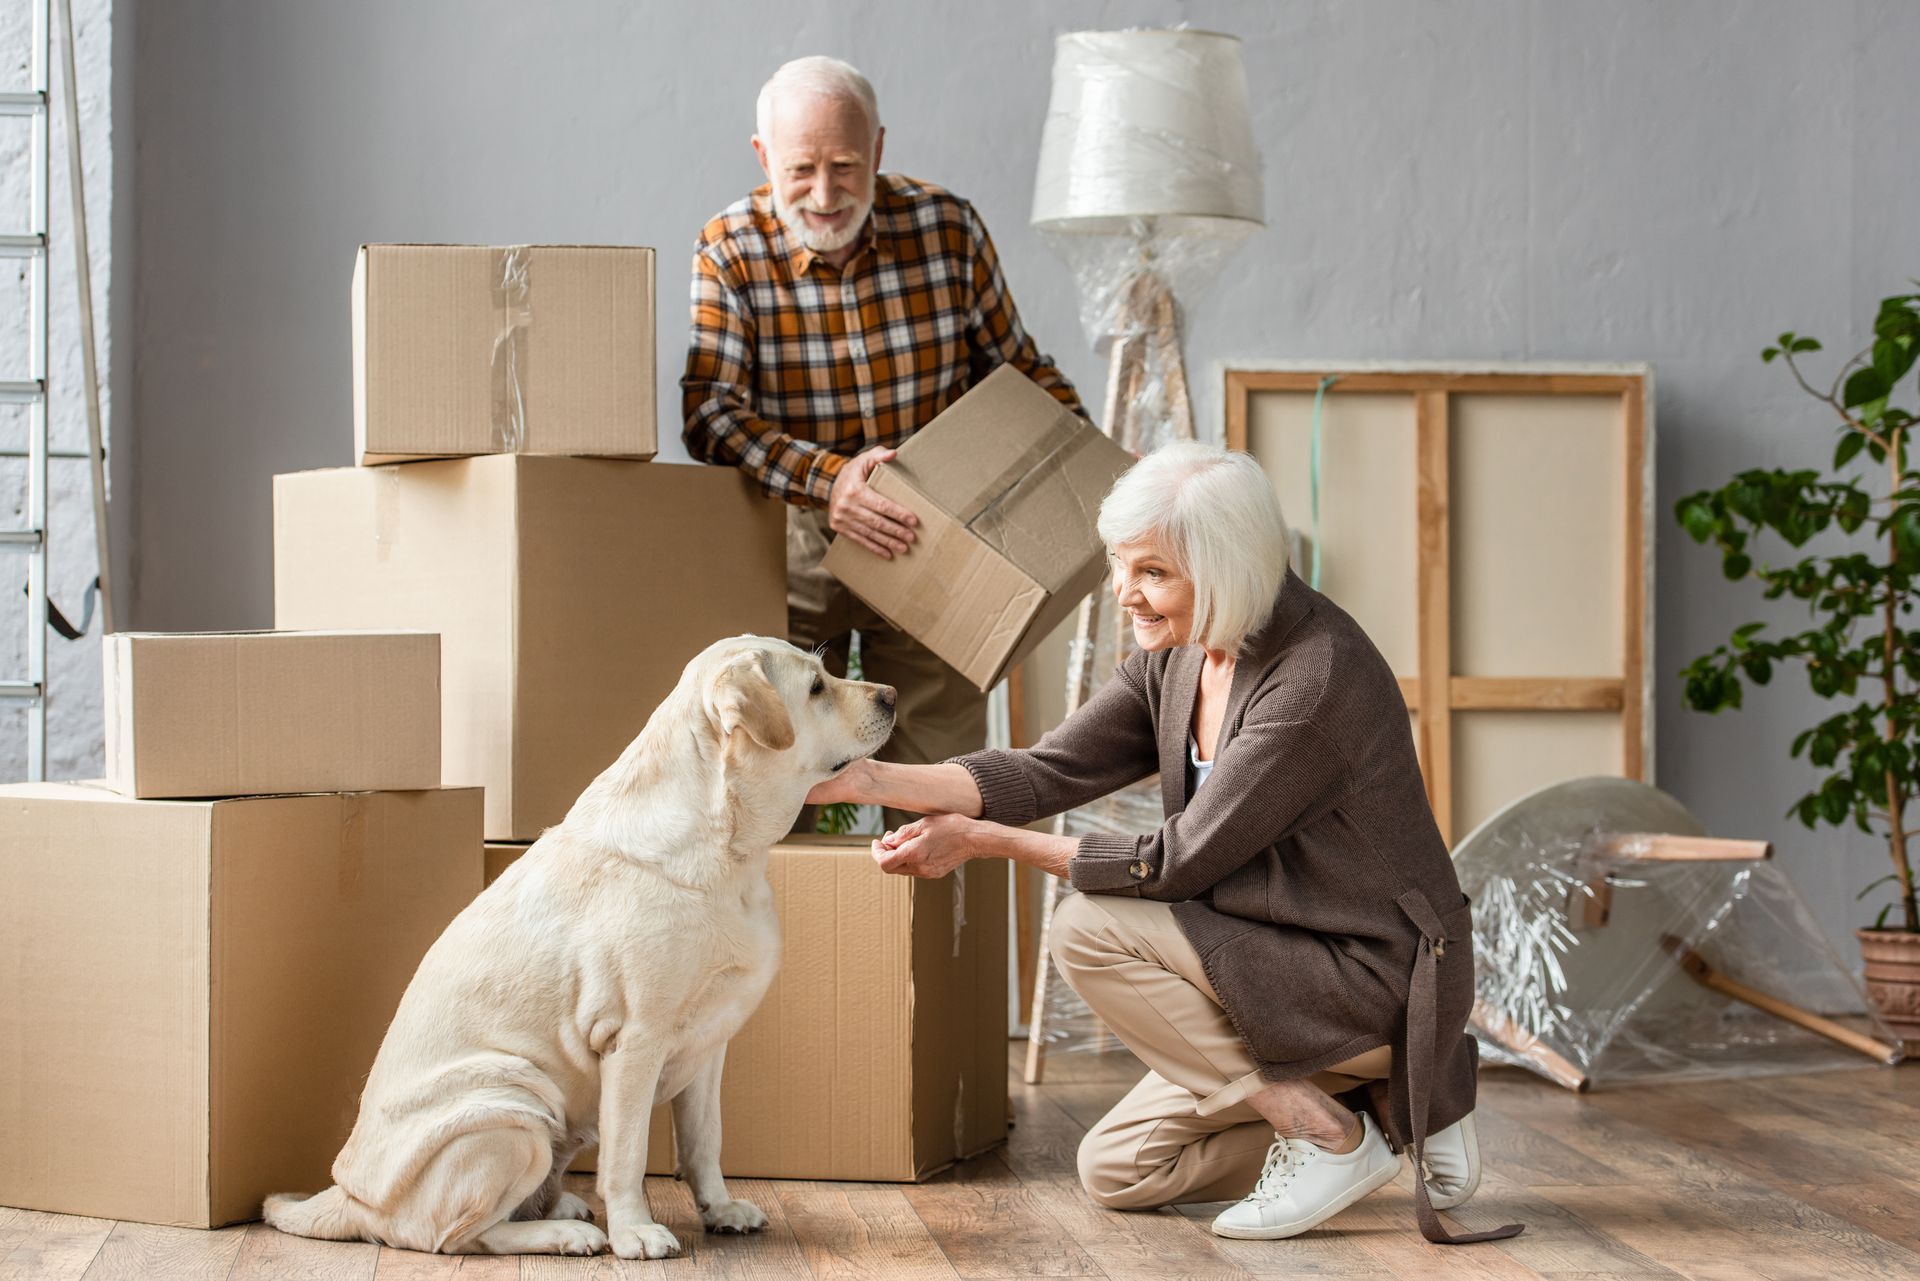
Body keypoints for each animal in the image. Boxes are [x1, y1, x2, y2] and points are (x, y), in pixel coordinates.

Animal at [263, 637, 898, 1259]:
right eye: (815, 687)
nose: (891, 695)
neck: (730, 848)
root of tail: (348, 1198)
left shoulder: (710, 1044)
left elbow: (704, 1143)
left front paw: (719, 1210)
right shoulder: (634, 1039)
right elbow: (627, 1156)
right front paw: (635, 1233)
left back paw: (562, 1208)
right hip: (514, 1108)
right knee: (458, 1237)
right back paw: (567, 1234)